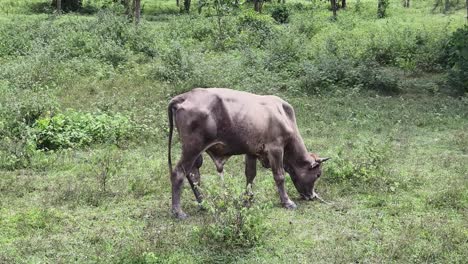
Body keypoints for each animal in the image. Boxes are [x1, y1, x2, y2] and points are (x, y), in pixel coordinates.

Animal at [168, 88, 330, 219]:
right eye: (318, 174)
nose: (312, 196)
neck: (283, 116)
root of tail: (187, 95)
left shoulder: (251, 151)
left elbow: (250, 175)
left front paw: (248, 199)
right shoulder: (276, 149)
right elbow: (279, 176)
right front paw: (287, 202)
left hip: (195, 153)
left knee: (194, 175)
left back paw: (204, 204)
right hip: (192, 149)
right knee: (179, 173)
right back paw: (178, 212)